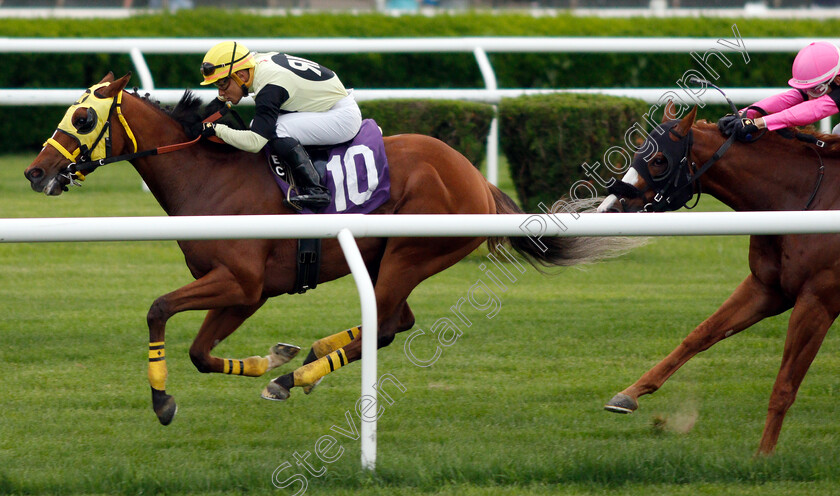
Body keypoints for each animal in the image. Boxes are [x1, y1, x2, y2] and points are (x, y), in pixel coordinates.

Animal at [24, 73, 632, 426]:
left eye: (82, 117)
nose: (36, 172)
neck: (210, 177)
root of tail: (476, 179)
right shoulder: (243, 293)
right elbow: (198, 352)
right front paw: (273, 357)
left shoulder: (242, 284)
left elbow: (158, 311)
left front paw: (163, 401)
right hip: (386, 256)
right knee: (394, 322)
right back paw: (308, 360)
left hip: (412, 253)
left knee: (385, 324)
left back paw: (298, 376)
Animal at [596, 102, 840, 456]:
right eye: (638, 153)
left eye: (659, 160)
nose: (610, 208)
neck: (807, 199)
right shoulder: (767, 288)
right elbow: (701, 334)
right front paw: (629, 394)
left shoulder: (819, 299)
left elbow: (784, 384)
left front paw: (763, 455)